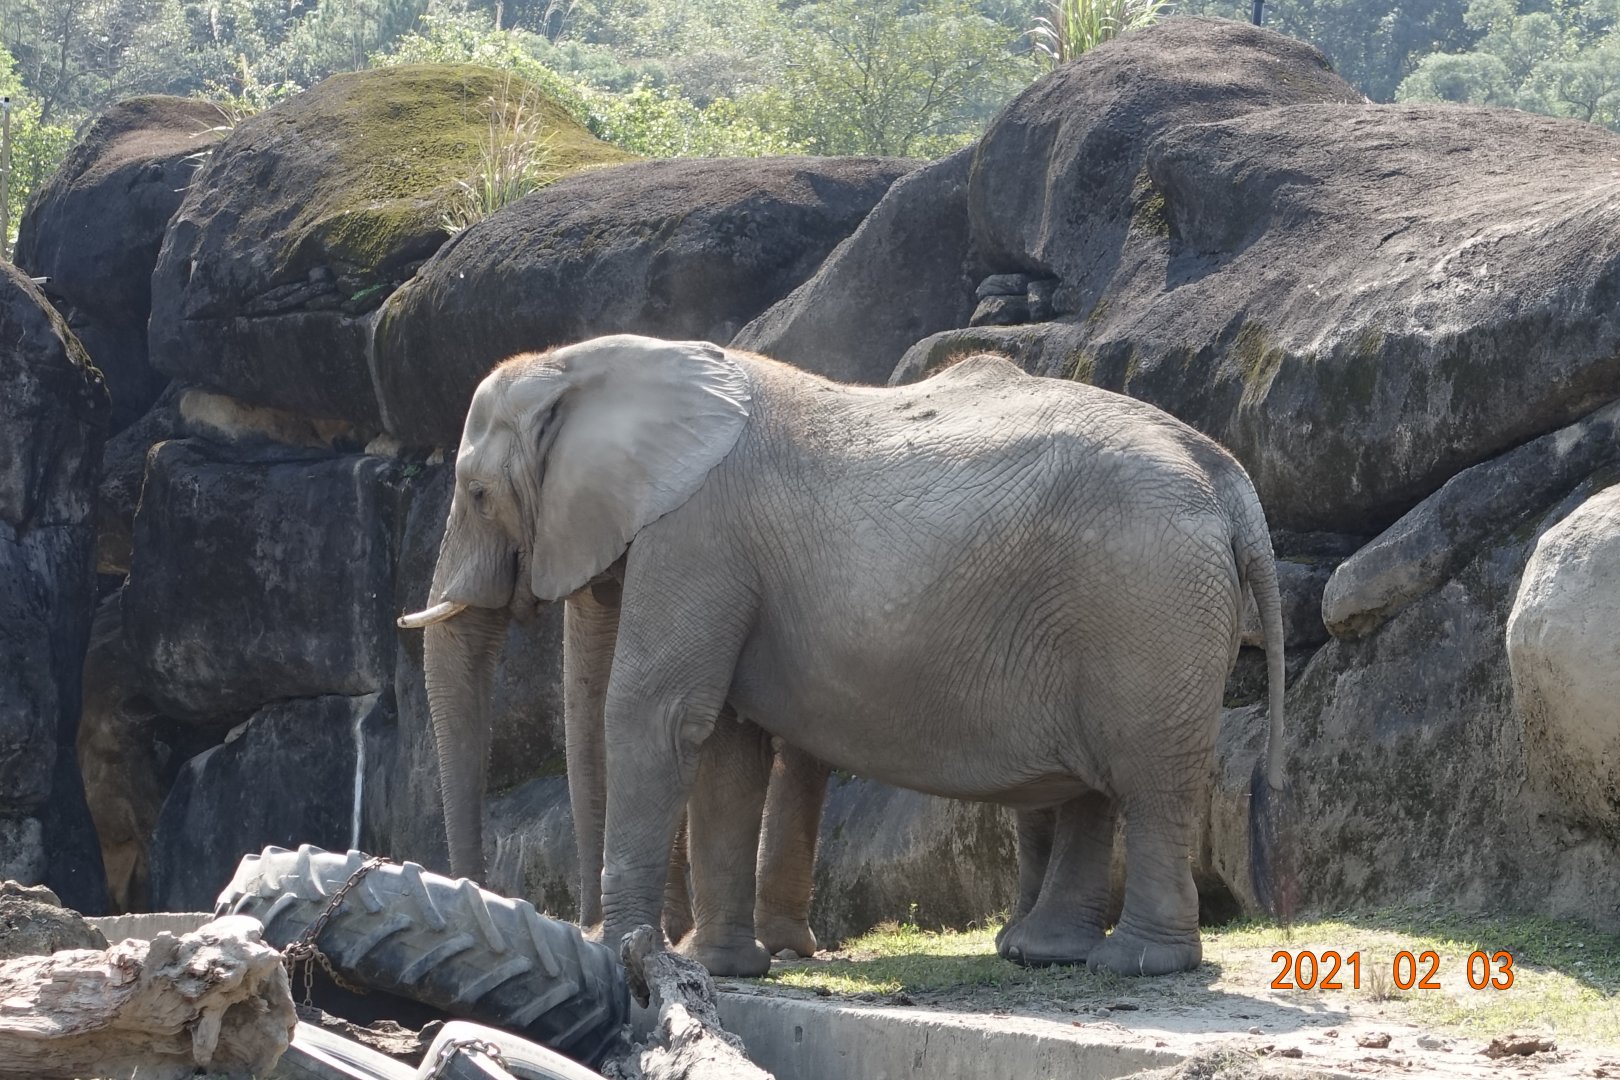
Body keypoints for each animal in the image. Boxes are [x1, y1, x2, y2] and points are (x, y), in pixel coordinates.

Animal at [400, 333, 1286, 978]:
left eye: (476, 493)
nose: (582, 933)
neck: (597, 362)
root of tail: (1228, 478)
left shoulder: (700, 533)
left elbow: (661, 714)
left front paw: (632, 957)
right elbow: (728, 744)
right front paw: (720, 967)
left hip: (1147, 603)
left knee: (1147, 779)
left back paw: (1137, 965)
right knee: (1095, 787)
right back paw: (1045, 953)